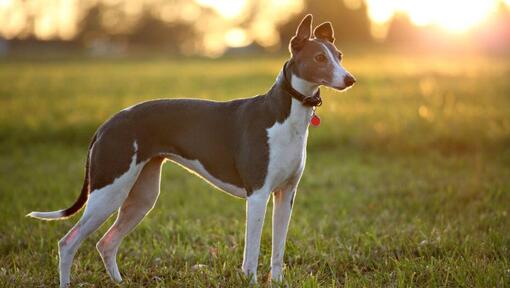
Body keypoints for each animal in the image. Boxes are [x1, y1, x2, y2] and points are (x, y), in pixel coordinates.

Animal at [27, 14, 354, 286]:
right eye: (319, 57)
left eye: (338, 56)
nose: (350, 79)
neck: (284, 114)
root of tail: (107, 124)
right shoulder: (258, 195)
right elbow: (251, 252)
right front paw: (250, 280)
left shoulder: (286, 195)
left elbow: (278, 250)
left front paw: (278, 282)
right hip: (109, 191)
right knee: (68, 242)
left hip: (141, 196)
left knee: (105, 242)